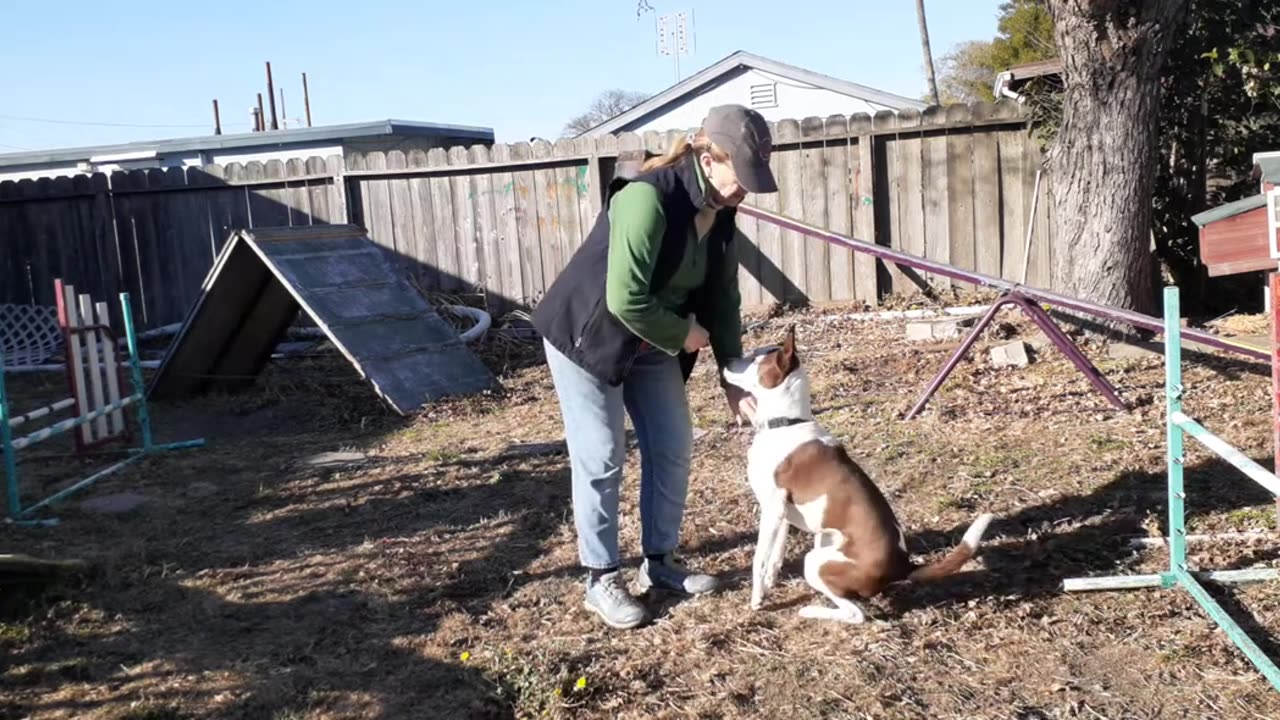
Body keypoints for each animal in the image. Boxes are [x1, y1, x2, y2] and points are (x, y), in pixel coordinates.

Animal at [721, 325, 988, 622]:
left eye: (755, 361)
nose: (727, 360)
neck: (786, 423)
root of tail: (903, 566)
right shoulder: (780, 513)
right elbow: (775, 555)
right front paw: (769, 584)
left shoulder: (771, 509)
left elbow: (759, 559)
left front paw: (757, 598)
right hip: (823, 542)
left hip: (816, 561)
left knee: (855, 614)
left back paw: (811, 610)